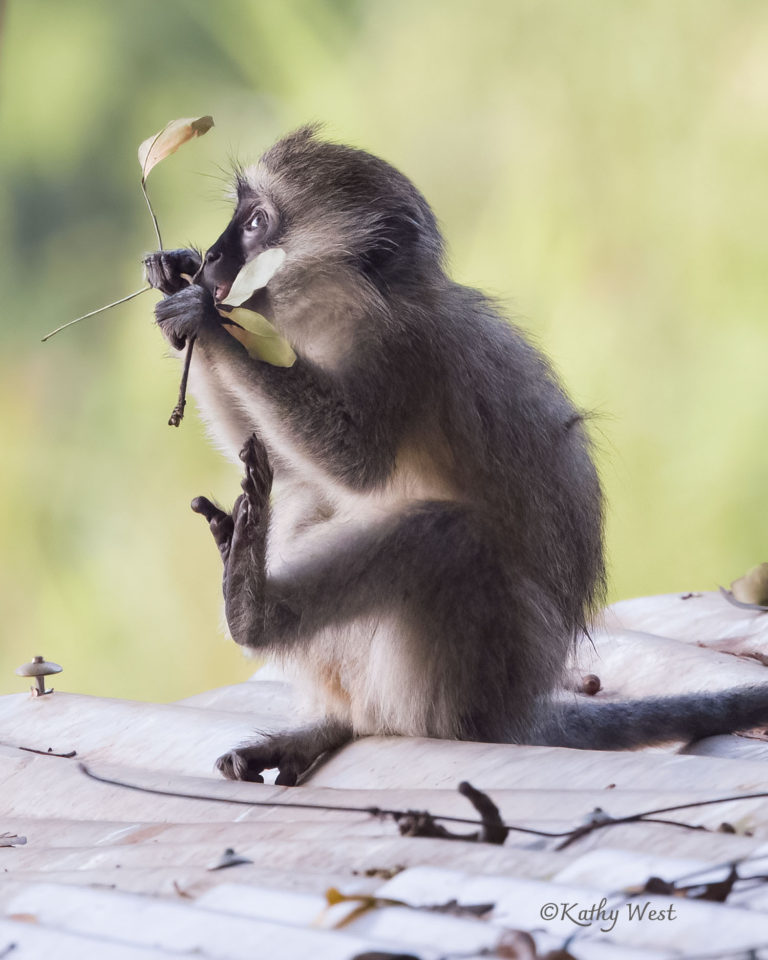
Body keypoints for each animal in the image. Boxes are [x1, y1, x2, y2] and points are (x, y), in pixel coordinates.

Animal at [144, 126, 768, 785]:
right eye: (237, 216)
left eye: (257, 222)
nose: (212, 258)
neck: (349, 302)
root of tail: (513, 712)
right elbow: (294, 463)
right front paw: (173, 278)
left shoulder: (402, 350)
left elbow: (353, 460)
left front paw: (206, 320)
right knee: (313, 496)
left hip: (471, 667)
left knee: (446, 534)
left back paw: (256, 613)